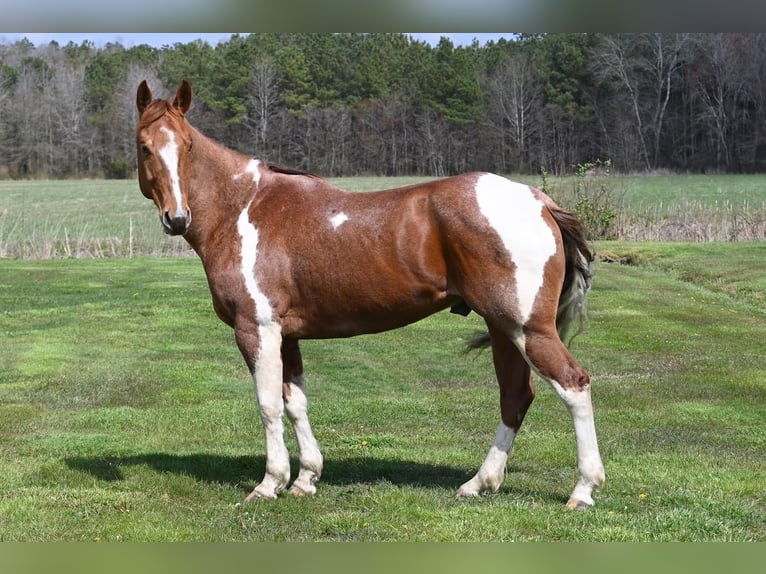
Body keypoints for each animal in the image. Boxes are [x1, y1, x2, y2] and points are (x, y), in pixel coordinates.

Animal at [136, 80, 608, 508]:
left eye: (187, 147)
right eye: (145, 147)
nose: (177, 219)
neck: (242, 208)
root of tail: (538, 199)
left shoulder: (257, 329)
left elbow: (269, 405)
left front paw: (270, 484)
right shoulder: (287, 336)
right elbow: (296, 403)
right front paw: (306, 479)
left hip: (527, 328)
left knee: (574, 385)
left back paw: (582, 490)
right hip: (502, 327)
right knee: (515, 396)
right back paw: (478, 483)